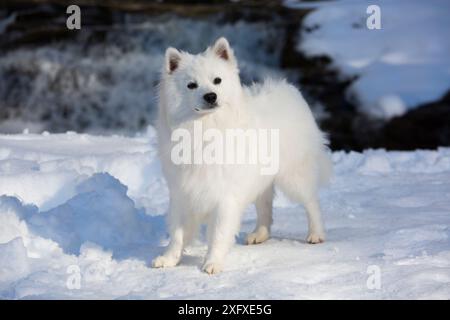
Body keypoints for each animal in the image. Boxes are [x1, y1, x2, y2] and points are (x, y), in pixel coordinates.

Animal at [153, 36, 332, 274]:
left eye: (217, 80)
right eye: (191, 85)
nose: (211, 96)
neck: (205, 129)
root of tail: (289, 89)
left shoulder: (224, 197)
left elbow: (218, 234)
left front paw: (212, 263)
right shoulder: (183, 193)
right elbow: (177, 234)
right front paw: (169, 259)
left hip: (294, 177)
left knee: (312, 202)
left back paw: (316, 234)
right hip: (261, 180)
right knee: (265, 206)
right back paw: (260, 234)